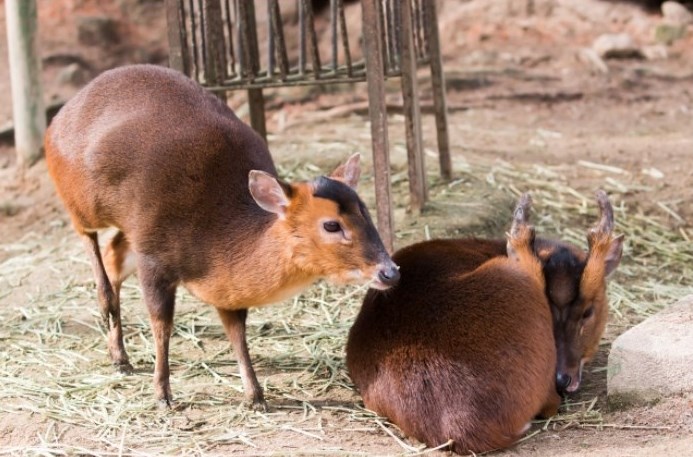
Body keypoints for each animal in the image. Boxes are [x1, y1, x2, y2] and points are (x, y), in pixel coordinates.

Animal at [44, 64, 400, 410]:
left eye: (365, 210)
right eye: (331, 225)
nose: (390, 272)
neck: (215, 239)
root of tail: (59, 117)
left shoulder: (225, 288)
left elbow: (237, 334)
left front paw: (255, 395)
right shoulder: (154, 258)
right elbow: (162, 325)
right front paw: (162, 392)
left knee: (114, 255)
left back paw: (119, 356)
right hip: (82, 201)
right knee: (91, 243)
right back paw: (108, 314)